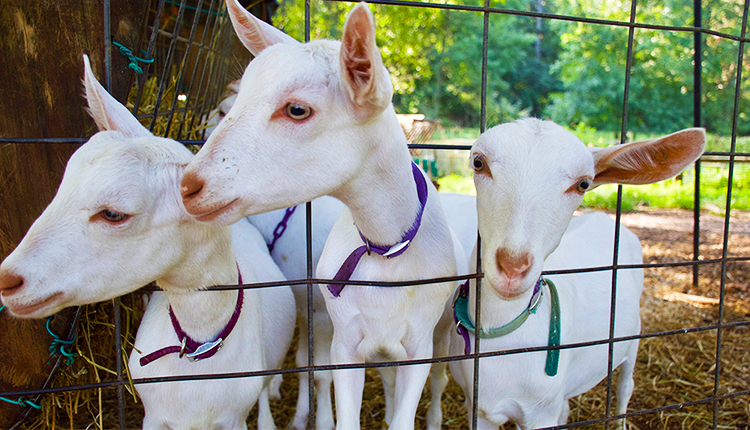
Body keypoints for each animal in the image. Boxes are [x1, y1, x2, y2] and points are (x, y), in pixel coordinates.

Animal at [180, 1, 468, 428]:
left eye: (297, 109)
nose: (188, 186)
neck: (385, 249)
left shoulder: (419, 342)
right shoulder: (343, 336)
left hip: (444, 327)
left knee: (439, 378)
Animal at [450, 118, 708, 430]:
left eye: (583, 184)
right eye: (478, 163)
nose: (513, 266)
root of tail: (604, 218)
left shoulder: (540, 413)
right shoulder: (478, 408)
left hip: (632, 337)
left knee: (626, 385)